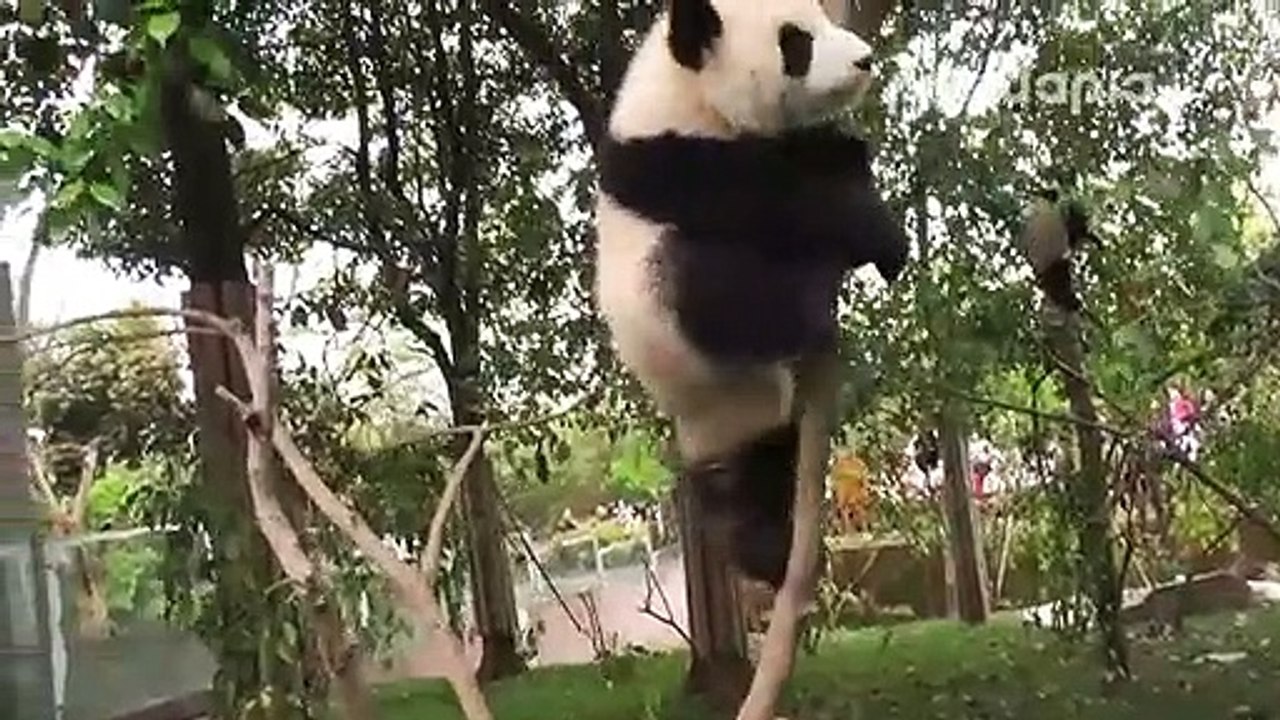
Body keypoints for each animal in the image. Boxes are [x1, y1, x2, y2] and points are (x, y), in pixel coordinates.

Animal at [593, 0, 911, 588]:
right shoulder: (671, 159)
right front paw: (876, 232)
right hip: (668, 320)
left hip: (753, 422)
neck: (688, 92)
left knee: (763, 466)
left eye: (824, 19)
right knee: (718, 292)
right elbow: (773, 199)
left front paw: (845, 152)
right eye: (796, 42)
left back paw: (764, 544)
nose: (865, 60)